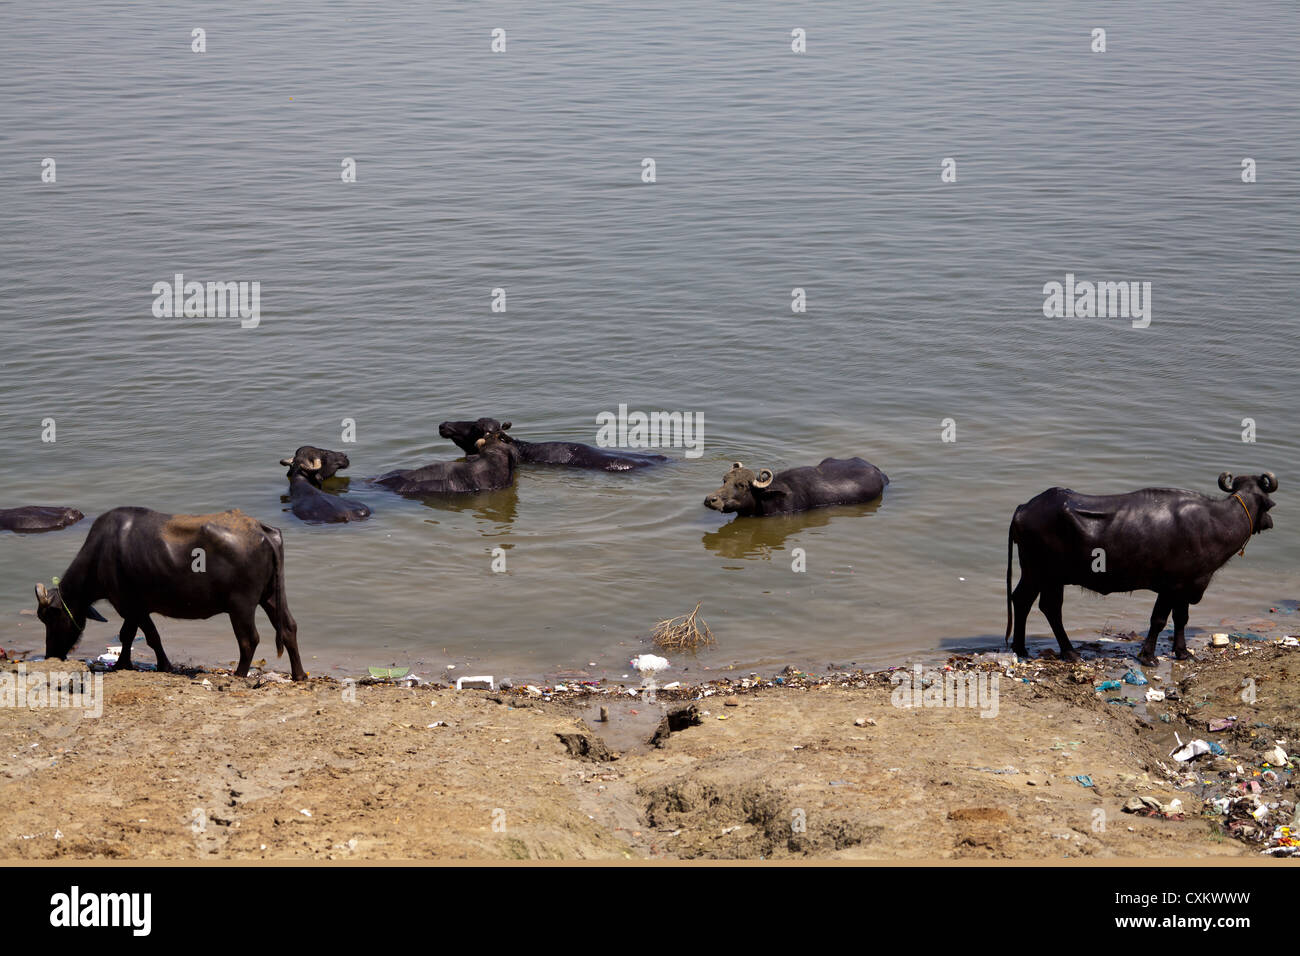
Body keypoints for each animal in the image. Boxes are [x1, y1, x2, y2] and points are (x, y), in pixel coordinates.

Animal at [35, 509, 304, 681]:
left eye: (51, 616)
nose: (50, 655)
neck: (102, 555)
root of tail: (263, 531)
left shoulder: (133, 607)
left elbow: (144, 637)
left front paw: (154, 664)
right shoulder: (135, 609)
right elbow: (130, 636)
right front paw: (127, 664)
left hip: (241, 605)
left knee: (249, 639)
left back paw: (238, 674)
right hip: (270, 596)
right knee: (289, 628)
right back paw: (299, 675)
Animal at [1003, 470, 1279, 665]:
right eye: (1269, 503)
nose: (1270, 521)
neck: (1216, 521)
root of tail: (1023, 509)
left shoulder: (1186, 585)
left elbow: (1181, 618)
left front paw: (1182, 652)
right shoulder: (1172, 586)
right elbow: (1158, 619)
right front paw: (1148, 656)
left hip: (1039, 574)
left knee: (1024, 601)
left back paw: (1022, 648)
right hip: (1044, 574)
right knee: (1048, 607)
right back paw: (1069, 652)